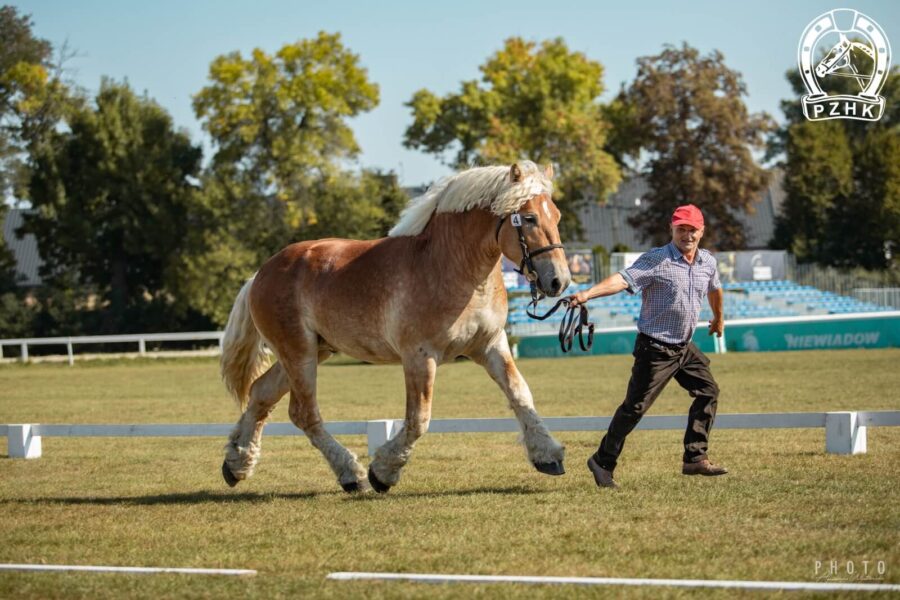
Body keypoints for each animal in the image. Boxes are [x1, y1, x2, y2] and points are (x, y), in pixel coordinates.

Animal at [220, 159, 568, 492]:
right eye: (530, 218)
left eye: (557, 216)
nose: (559, 281)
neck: (450, 266)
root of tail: (260, 273)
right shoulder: (419, 356)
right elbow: (419, 418)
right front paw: (383, 472)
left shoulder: (490, 345)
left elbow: (520, 394)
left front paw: (548, 455)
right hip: (299, 353)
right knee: (304, 413)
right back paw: (351, 474)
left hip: (312, 351)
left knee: (261, 393)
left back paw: (236, 463)